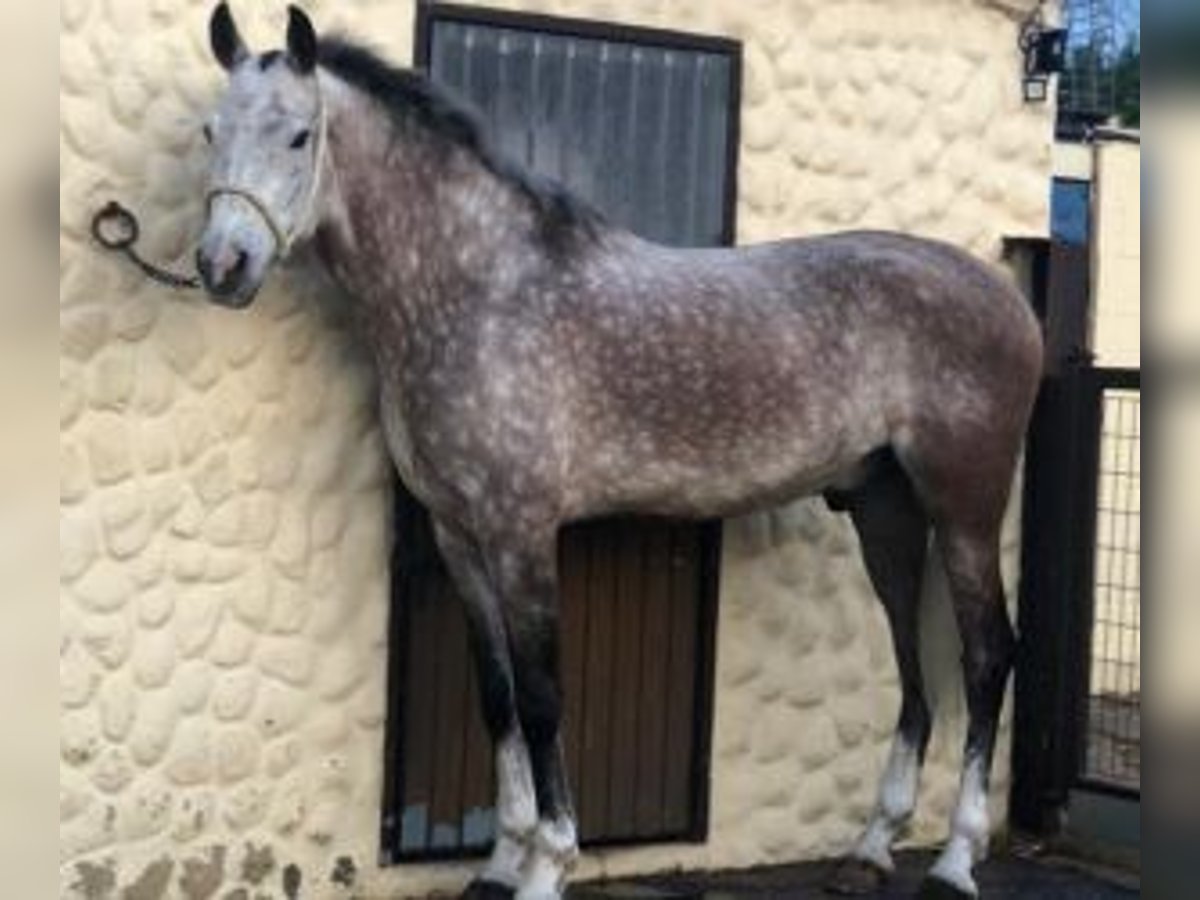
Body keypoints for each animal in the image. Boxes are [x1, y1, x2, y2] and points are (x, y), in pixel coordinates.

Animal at [194, 7, 1041, 900]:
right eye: (212, 130)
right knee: (912, 658)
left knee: (989, 655)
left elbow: (542, 698)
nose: (222, 264)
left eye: (299, 135)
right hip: (885, 510)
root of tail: (1007, 298)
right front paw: (501, 860)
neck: (479, 290)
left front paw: (548, 864)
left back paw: (954, 860)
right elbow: (496, 694)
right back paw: (873, 846)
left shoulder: (523, 534)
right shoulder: (462, 537)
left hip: (966, 505)